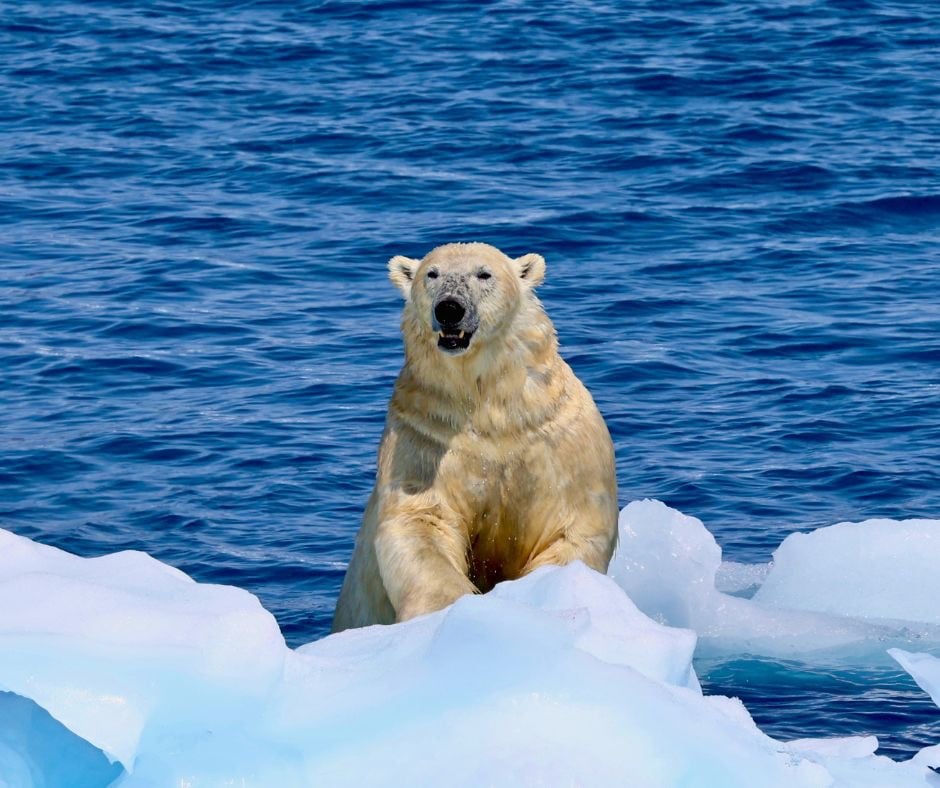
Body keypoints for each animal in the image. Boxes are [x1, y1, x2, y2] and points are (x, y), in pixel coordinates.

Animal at [331, 242, 618, 632]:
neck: (490, 410)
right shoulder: (424, 439)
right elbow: (421, 523)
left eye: (484, 274)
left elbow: (571, 527)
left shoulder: (561, 443)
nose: (449, 308)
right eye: (432, 274)